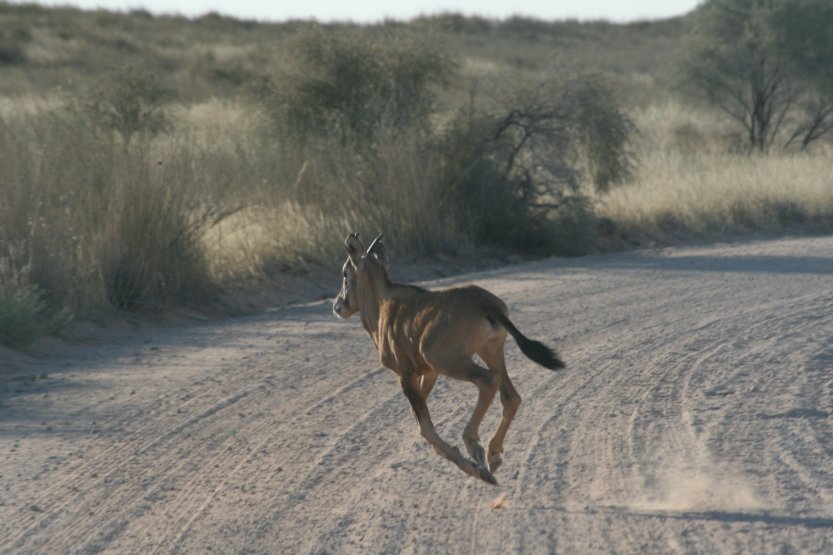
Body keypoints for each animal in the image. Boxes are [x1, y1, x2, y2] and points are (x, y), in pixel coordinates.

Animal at [334, 232, 564, 484]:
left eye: (345, 273)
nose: (338, 305)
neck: (384, 304)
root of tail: (483, 301)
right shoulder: (428, 373)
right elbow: (422, 420)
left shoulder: (405, 375)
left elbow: (425, 428)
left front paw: (472, 467)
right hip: (489, 351)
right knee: (510, 396)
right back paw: (493, 456)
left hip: (450, 362)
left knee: (488, 381)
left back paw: (475, 449)